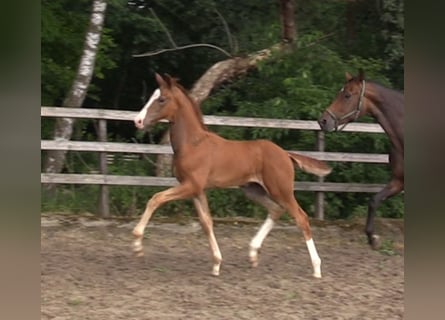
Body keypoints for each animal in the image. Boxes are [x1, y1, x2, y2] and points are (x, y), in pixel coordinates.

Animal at [132, 73, 330, 278]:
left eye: (162, 99)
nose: (137, 121)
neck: (193, 144)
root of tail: (286, 154)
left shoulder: (191, 186)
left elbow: (156, 198)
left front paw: (137, 244)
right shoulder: (196, 190)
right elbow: (206, 222)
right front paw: (217, 264)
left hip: (281, 190)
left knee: (301, 218)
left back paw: (316, 268)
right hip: (253, 190)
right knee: (276, 210)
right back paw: (253, 253)